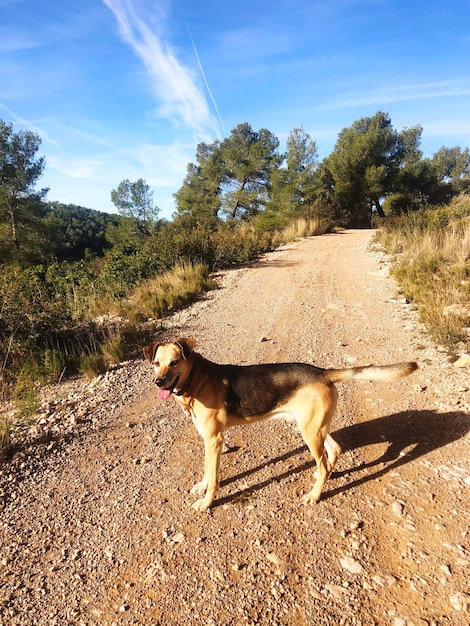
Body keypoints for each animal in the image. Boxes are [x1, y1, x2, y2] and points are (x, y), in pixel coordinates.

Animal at [141, 338, 416, 510]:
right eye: (156, 363)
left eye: (175, 362)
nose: (158, 382)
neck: (196, 380)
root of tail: (323, 372)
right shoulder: (207, 440)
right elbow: (207, 470)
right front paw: (202, 485)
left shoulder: (214, 440)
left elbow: (215, 476)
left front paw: (207, 502)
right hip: (312, 426)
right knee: (334, 452)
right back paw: (322, 476)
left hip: (310, 432)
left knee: (324, 462)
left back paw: (315, 495)